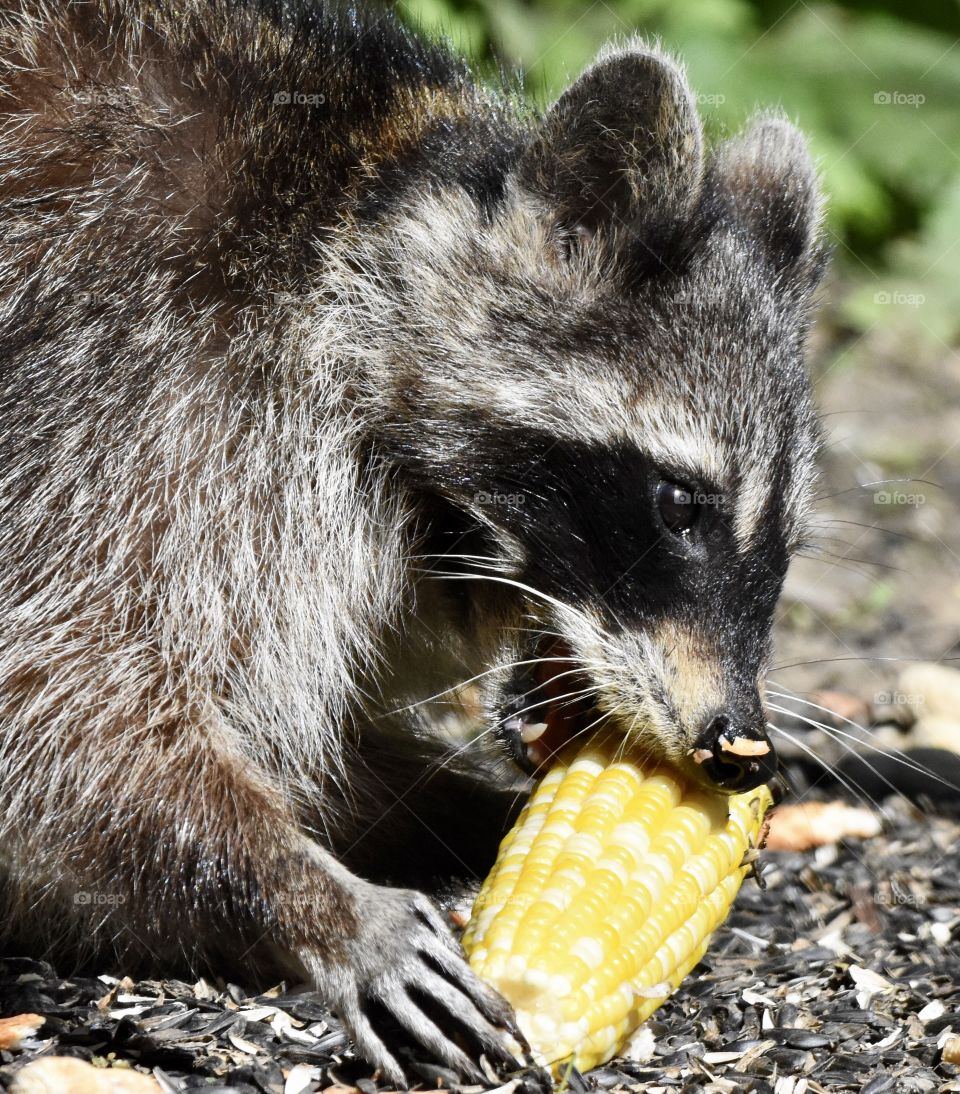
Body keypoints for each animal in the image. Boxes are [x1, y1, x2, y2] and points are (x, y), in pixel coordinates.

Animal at [0, 0, 826, 1080]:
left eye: (784, 545)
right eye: (679, 503)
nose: (740, 744)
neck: (359, 212)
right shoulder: (139, 389)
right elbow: (60, 706)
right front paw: (313, 896)